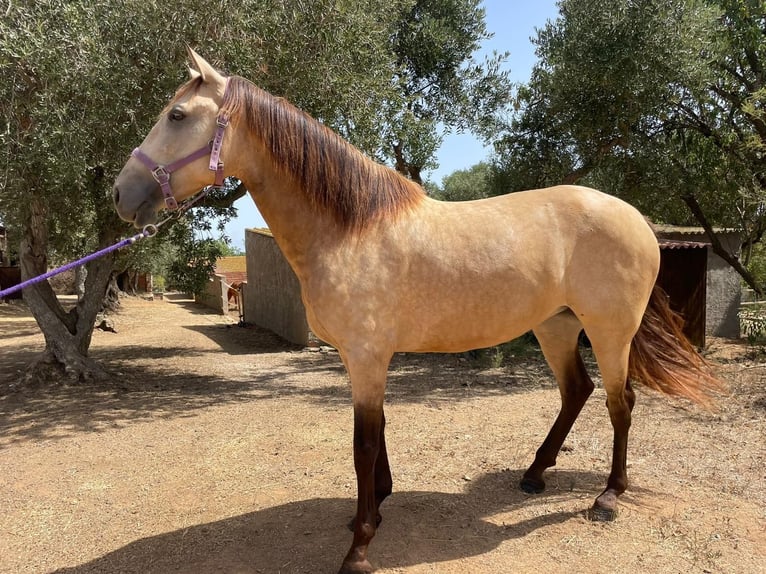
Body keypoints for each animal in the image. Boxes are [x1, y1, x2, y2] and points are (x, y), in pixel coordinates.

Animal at [111, 49, 724, 574]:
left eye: (177, 115)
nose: (121, 194)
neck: (349, 228)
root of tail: (637, 219)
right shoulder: (363, 359)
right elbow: (377, 434)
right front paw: (376, 507)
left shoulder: (367, 357)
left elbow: (363, 444)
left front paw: (359, 546)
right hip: (555, 326)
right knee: (578, 392)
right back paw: (534, 474)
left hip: (609, 331)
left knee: (621, 403)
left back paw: (608, 496)